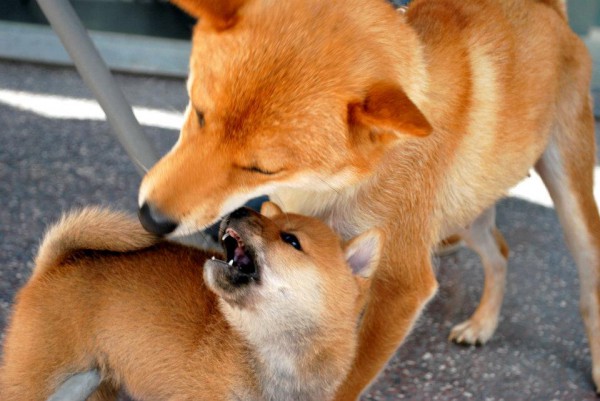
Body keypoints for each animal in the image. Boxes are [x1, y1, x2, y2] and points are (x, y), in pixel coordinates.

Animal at [137, 0, 600, 396]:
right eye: (198, 113)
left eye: (262, 169)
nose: (150, 218)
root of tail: (548, 12)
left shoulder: (402, 289)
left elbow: (348, 379)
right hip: (467, 208)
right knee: (499, 252)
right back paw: (483, 323)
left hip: (570, 202)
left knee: (587, 285)